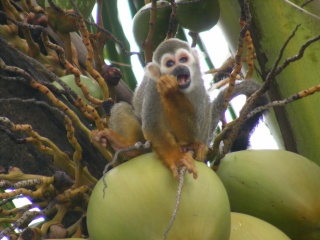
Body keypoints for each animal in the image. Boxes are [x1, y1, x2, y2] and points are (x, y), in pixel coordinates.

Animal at [92, 38, 268, 178]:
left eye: (183, 59)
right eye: (170, 63)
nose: (179, 68)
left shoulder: (198, 86)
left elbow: (193, 129)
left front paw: (171, 92)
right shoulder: (153, 87)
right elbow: (152, 126)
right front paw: (177, 159)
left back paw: (197, 146)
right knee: (122, 108)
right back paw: (127, 147)